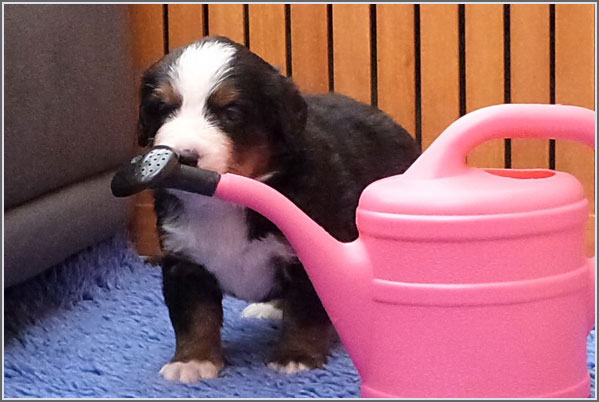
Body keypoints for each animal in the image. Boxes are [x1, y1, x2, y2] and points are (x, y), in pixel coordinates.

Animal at [137, 36, 420, 383]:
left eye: (231, 112)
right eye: (163, 108)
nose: (184, 157)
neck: (222, 202)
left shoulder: (311, 257)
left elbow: (305, 313)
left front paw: (296, 357)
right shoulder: (184, 260)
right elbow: (194, 316)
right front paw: (193, 362)